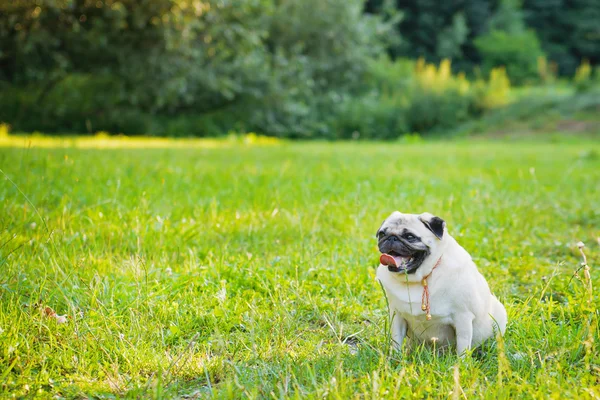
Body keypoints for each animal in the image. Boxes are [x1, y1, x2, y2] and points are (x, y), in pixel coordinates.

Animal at [376, 211, 506, 354]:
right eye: (382, 234)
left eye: (410, 236)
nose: (391, 238)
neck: (421, 278)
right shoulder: (397, 315)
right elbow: (396, 341)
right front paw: (395, 357)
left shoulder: (463, 318)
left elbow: (462, 347)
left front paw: (462, 361)